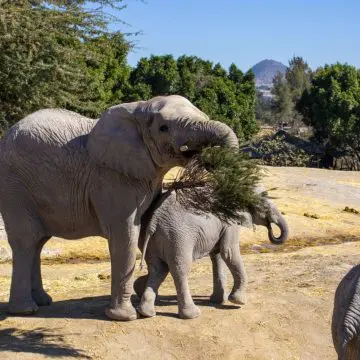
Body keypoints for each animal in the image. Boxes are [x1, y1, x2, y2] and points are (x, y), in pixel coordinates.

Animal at [0, 95, 239, 320]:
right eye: (163, 128)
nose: (208, 157)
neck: (139, 109)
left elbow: (145, 227)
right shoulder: (113, 179)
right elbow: (126, 235)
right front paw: (125, 316)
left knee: (38, 242)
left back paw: (43, 301)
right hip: (14, 187)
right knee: (26, 240)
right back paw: (26, 310)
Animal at [134, 190, 288, 320]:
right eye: (265, 206)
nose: (270, 228)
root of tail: (154, 220)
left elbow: (218, 256)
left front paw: (218, 300)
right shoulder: (230, 220)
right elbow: (229, 252)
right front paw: (238, 301)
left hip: (153, 239)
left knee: (158, 269)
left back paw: (146, 312)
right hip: (178, 237)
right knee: (180, 270)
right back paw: (192, 315)